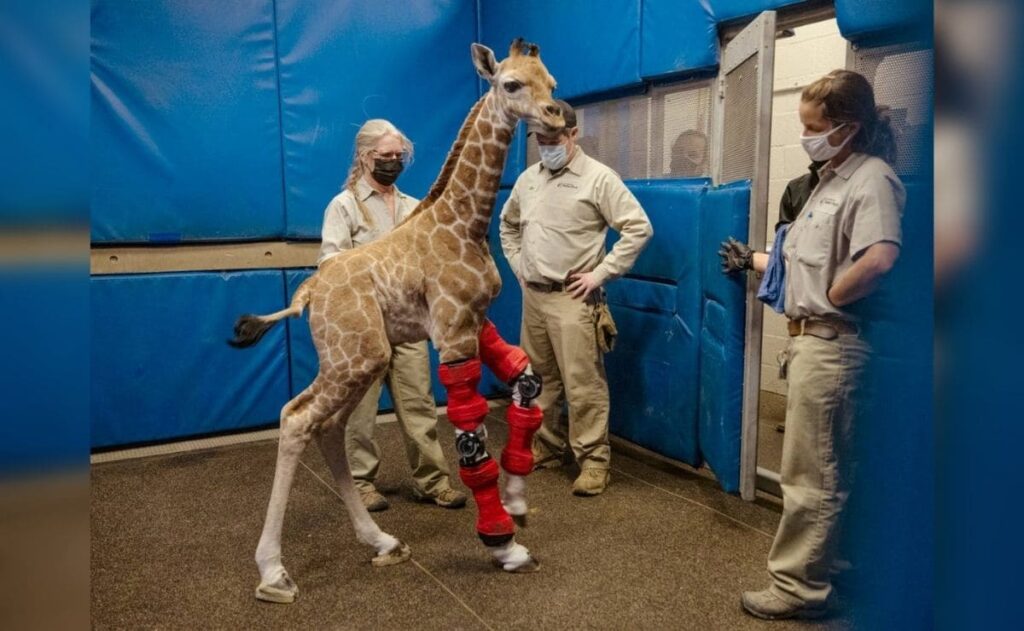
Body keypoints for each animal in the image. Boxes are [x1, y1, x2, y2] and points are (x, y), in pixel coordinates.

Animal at [229, 39, 565, 602]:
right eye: (512, 84)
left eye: (553, 83)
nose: (559, 116)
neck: (464, 223)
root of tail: (308, 294)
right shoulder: (452, 333)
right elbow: (471, 441)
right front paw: (504, 545)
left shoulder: (475, 321)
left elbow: (527, 381)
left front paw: (518, 501)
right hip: (355, 356)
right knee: (297, 417)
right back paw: (273, 573)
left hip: (361, 361)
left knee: (328, 426)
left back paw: (382, 541)